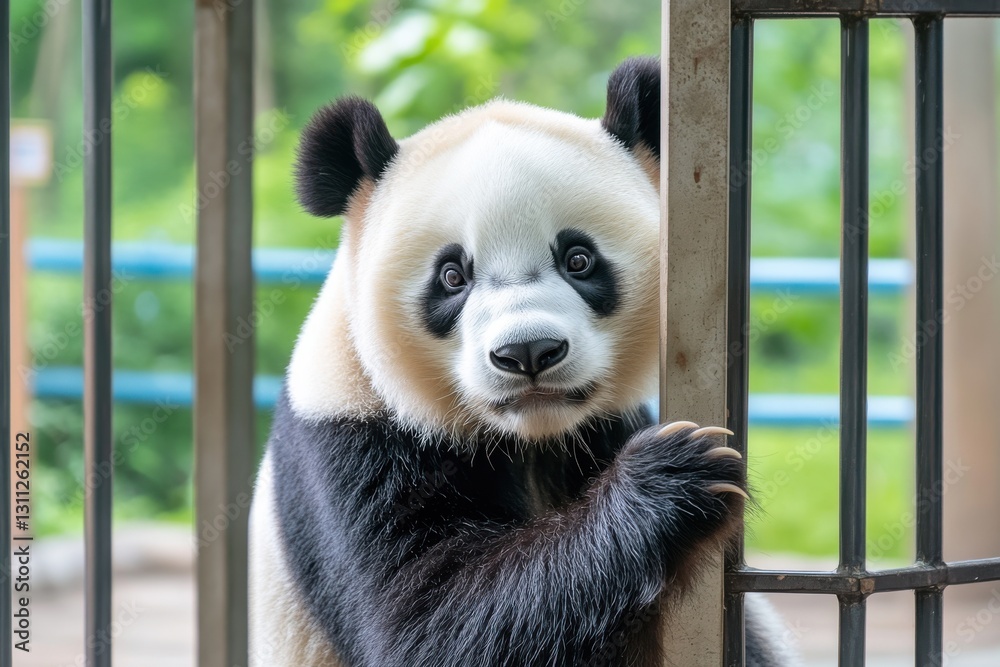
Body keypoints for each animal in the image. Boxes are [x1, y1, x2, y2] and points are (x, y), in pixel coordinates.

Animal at [249, 57, 794, 667]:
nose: (528, 352)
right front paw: (675, 478)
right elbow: (428, 625)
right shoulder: (350, 445)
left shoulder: (605, 425)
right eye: (452, 275)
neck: (530, 437)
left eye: (579, 259)